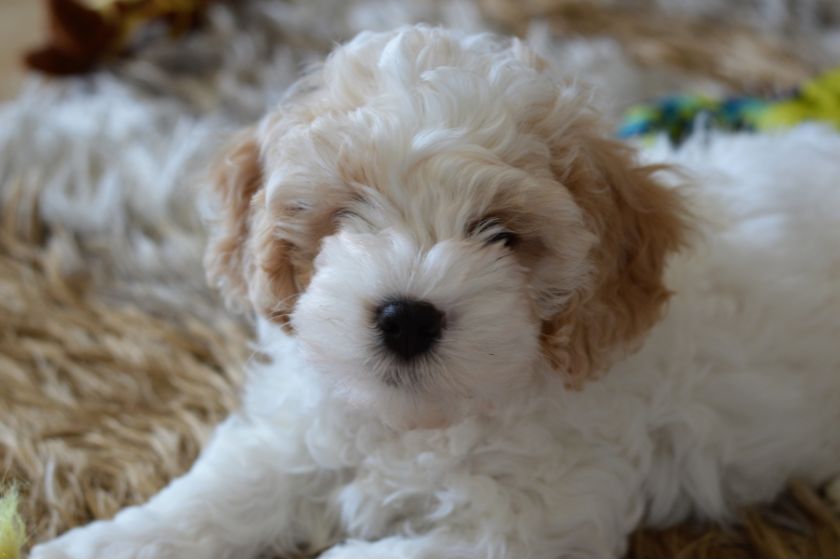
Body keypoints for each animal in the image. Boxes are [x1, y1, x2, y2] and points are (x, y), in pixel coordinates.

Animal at [29, 24, 840, 556]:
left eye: (500, 233)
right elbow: (215, 495)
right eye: (348, 212)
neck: (418, 423)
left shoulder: (520, 525)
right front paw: (94, 545)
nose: (406, 318)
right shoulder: (292, 436)